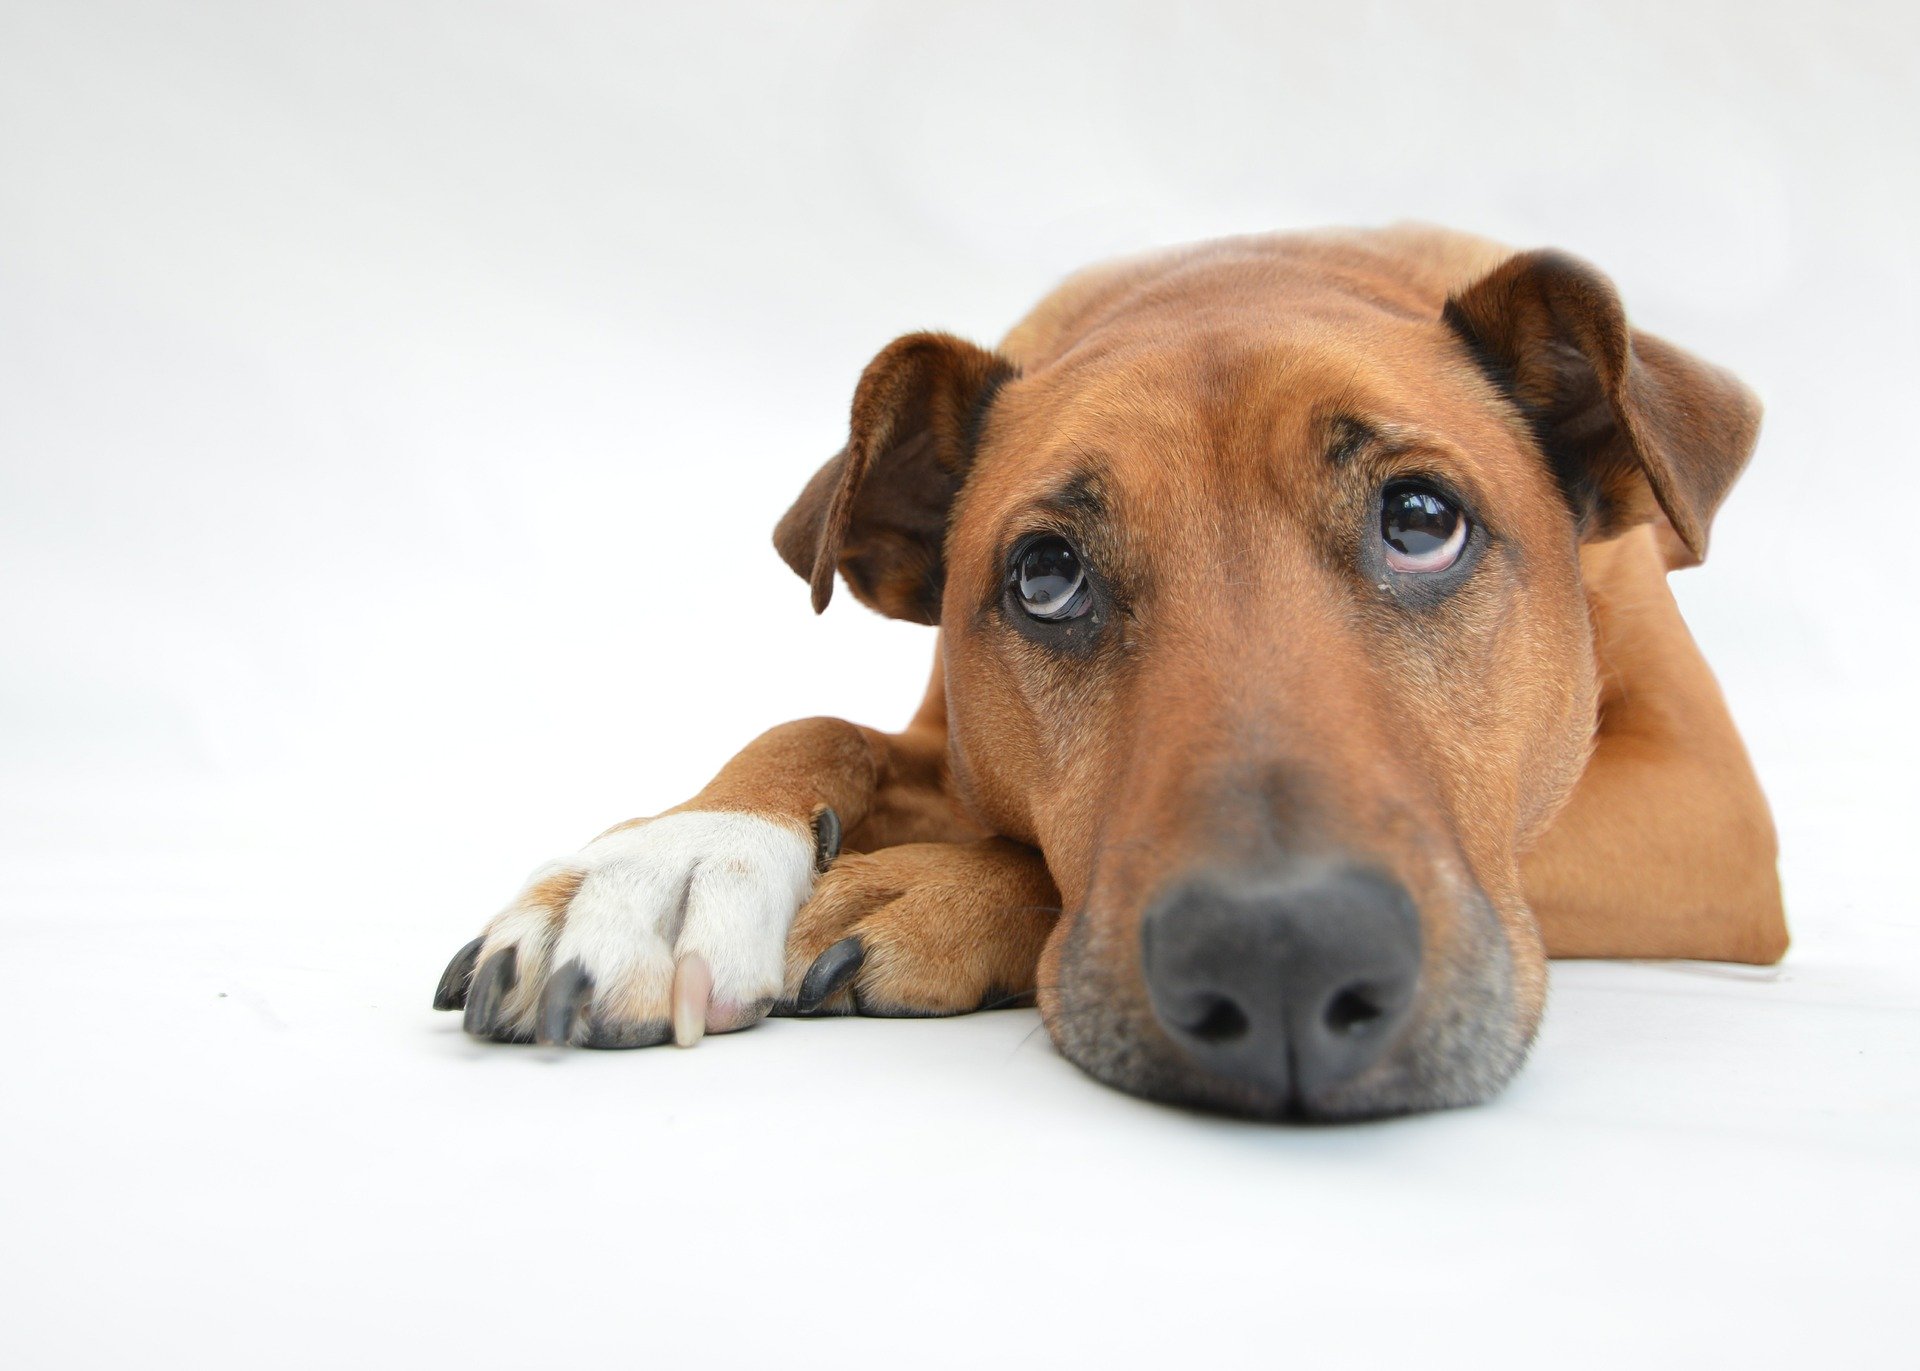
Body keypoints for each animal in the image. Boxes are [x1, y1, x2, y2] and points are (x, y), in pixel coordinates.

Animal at [432, 224, 1781, 1113]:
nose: (1283, 958)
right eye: (1044, 577)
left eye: (1421, 520)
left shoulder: (1708, 809)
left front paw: (937, 889)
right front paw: (675, 861)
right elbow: (820, 724)